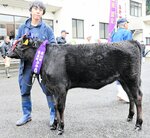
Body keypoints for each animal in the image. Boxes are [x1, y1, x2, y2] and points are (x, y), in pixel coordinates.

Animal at [7, 35, 143, 135]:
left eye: (18, 44)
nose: (6, 53)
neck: (46, 57)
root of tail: (130, 41)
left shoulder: (61, 87)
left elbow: (60, 107)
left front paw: (61, 128)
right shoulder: (53, 88)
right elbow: (55, 106)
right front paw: (55, 125)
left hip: (132, 78)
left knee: (138, 97)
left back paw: (138, 124)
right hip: (123, 80)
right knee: (131, 97)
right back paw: (130, 117)